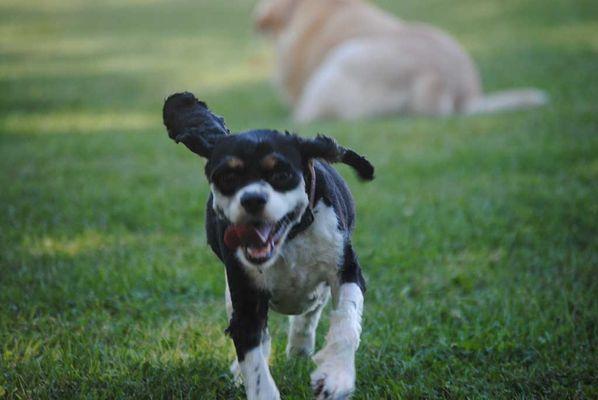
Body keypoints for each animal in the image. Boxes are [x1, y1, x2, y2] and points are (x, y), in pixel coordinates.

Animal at [164, 93, 376, 400]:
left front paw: (336, 376)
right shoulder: (245, 295)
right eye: (227, 177)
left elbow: (346, 322)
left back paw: (300, 346)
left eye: (280, 173)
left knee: (312, 309)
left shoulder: (346, 269)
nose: (252, 199)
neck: (290, 238)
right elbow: (252, 353)